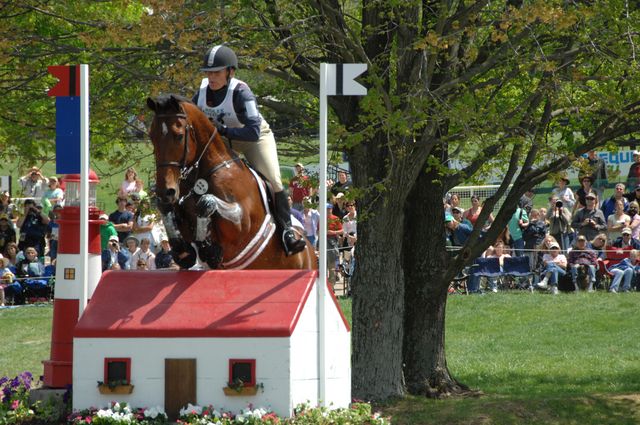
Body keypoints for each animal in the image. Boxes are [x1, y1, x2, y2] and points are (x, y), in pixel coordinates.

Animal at [146, 95, 316, 270]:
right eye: (152, 136)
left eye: (178, 136)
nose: (165, 192)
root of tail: (310, 250)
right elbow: (167, 210)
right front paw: (185, 252)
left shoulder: (241, 223)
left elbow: (206, 202)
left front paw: (210, 250)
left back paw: (292, 240)